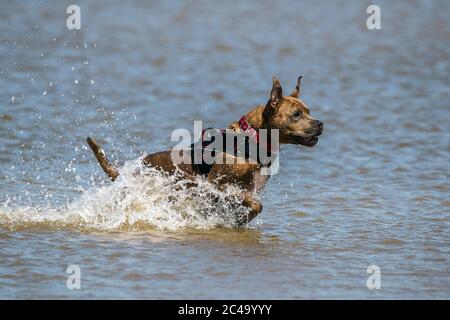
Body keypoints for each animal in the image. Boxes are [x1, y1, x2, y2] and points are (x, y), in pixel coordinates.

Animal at [85, 76, 324, 224]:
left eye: (309, 111)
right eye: (296, 115)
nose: (320, 123)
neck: (252, 139)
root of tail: (126, 175)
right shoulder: (216, 185)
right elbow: (255, 205)